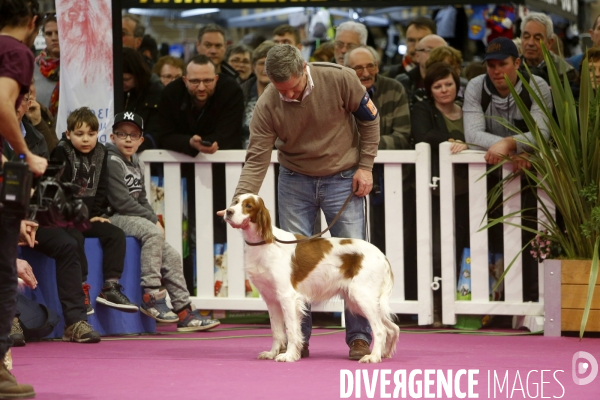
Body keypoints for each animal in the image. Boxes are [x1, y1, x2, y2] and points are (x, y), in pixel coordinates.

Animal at [223, 194, 400, 362]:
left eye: (248, 206)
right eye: (235, 202)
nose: (228, 212)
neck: (264, 242)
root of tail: (382, 255)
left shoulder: (287, 297)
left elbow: (292, 331)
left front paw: (288, 356)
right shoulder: (271, 299)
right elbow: (277, 332)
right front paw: (272, 353)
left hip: (361, 296)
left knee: (380, 330)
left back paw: (373, 357)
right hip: (358, 302)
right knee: (393, 327)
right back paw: (384, 353)